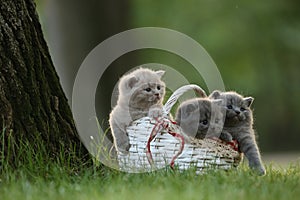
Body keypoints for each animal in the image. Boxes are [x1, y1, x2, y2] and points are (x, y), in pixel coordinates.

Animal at [109, 67, 266, 175]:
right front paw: (123, 146)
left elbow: (253, 151)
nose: (157, 93)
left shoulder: (246, 135)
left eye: (159, 87)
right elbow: (117, 130)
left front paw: (259, 171)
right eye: (147, 89)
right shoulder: (115, 116)